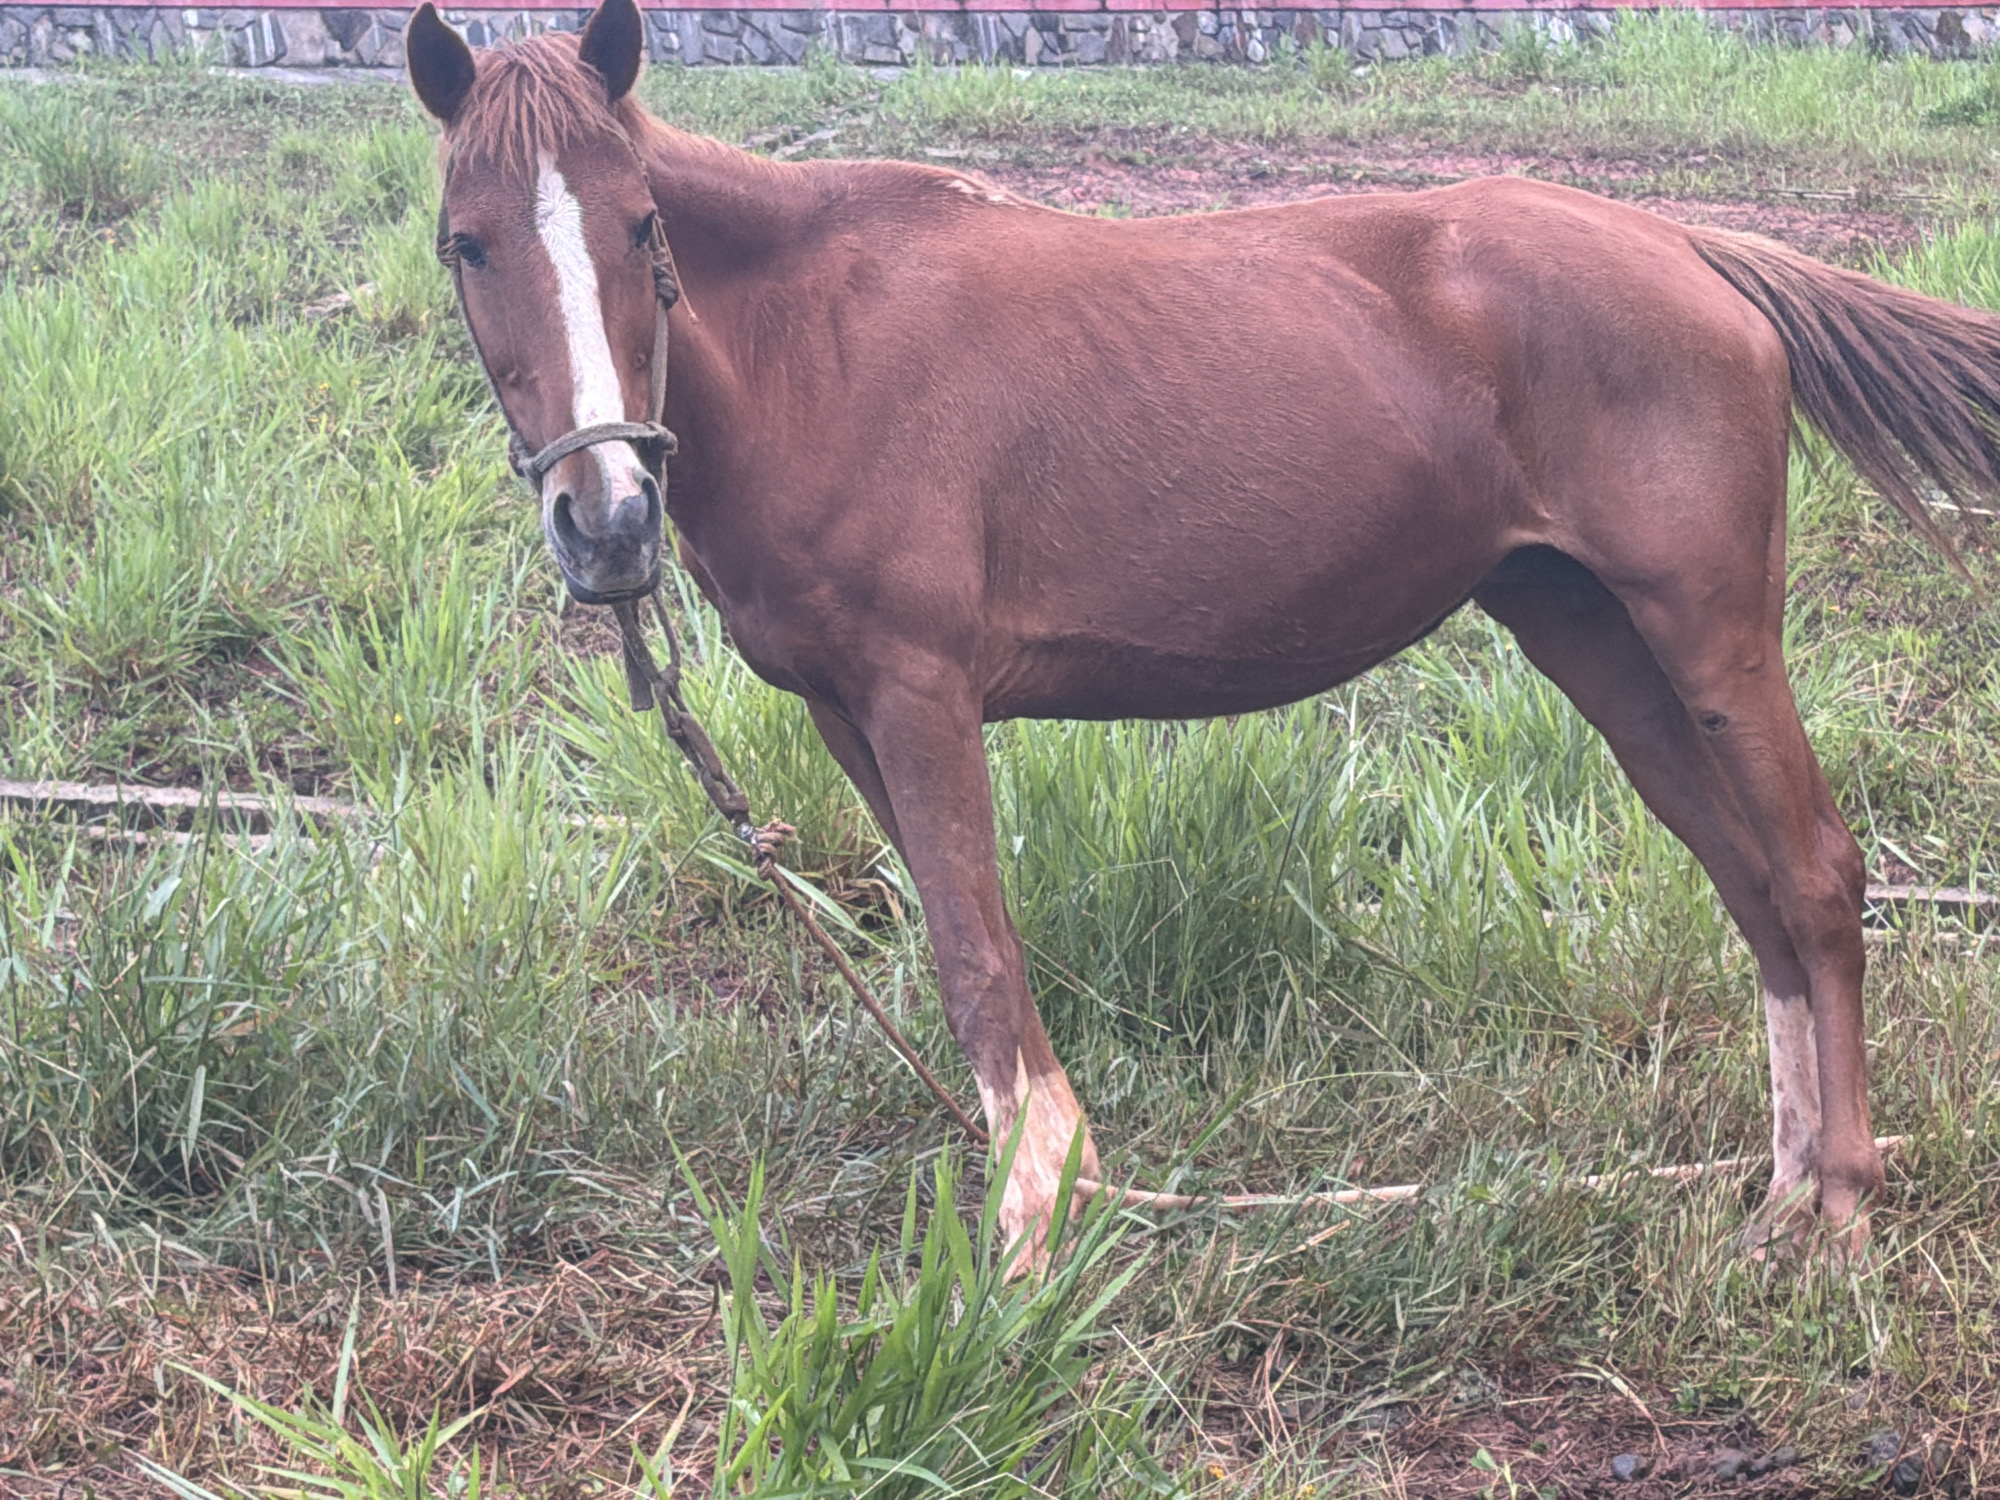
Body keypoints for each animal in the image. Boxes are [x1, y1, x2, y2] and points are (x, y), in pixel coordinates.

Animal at [406, 0, 2000, 1260]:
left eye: (642, 230)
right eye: (463, 245)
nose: (608, 523)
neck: (820, 346)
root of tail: (1684, 239)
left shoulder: (921, 696)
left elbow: (975, 959)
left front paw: (1028, 1250)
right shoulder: (846, 711)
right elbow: (969, 942)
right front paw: (1069, 1184)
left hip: (1710, 634)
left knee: (1814, 871)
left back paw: (1840, 1204)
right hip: (1594, 640)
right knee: (1745, 881)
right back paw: (1779, 1189)